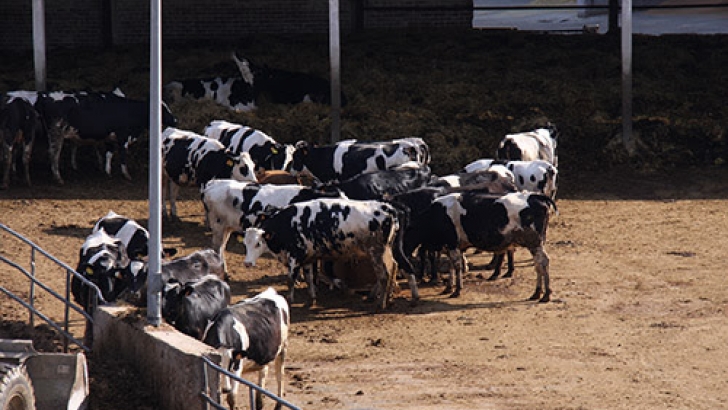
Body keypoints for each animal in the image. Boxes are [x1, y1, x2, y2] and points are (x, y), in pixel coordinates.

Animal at [242, 198, 419, 309]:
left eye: (258, 243)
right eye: (245, 243)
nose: (247, 263)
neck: (287, 224)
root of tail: (390, 208)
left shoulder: (295, 257)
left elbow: (290, 280)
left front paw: (290, 301)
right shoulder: (307, 259)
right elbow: (309, 278)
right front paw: (311, 299)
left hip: (376, 252)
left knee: (384, 275)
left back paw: (381, 303)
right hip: (391, 248)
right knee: (399, 266)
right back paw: (401, 298)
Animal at [402, 191, 556, 301]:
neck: (436, 214)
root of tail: (537, 196)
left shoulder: (452, 244)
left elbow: (457, 266)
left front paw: (457, 290)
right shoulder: (453, 246)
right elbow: (451, 266)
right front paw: (449, 287)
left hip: (534, 242)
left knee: (543, 262)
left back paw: (546, 294)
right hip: (535, 244)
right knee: (538, 265)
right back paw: (537, 293)